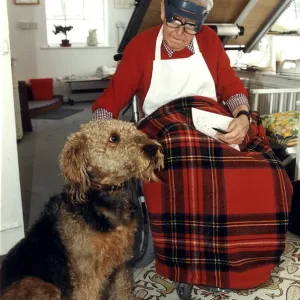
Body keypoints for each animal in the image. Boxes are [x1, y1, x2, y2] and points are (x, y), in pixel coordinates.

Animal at [0, 119, 164, 300]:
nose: (153, 149)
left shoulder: (121, 262)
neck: (105, 198)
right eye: (114, 138)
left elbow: (122, 290)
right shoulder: (88, 277)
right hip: (44, 286)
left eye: (135, 130)